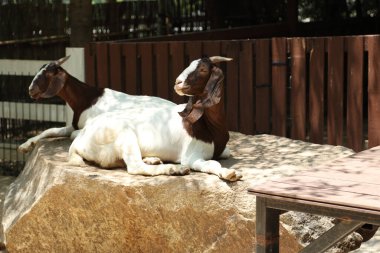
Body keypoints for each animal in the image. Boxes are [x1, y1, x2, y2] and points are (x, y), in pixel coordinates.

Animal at [18, 56, 174, 153]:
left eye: (48, 74)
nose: (31, 90)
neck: (85, 99)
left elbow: (73, 134)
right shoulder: (74, 125)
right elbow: (50, 130)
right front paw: (26, 145)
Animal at [68, 56, 240, 181]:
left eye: (203, 69)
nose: (178, 82)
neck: (208, 126)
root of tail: (80, 139)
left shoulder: (223, 150)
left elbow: (226, 153)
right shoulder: (191, 156)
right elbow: (212, 162)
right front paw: (229, 173)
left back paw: (153, 159)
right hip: (124, 134)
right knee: (135, 167)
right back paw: (174, 169)